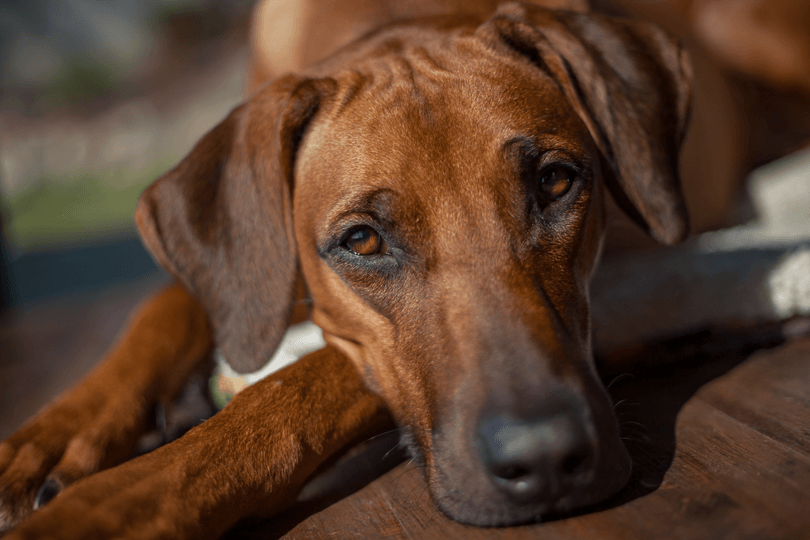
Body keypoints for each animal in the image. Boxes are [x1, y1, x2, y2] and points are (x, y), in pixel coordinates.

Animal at [0, 0, 696, 536]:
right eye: (361, 241)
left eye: (554, 182)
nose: (547, 458)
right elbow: (165, 310)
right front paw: (47, 440)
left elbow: (297, 383)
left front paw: (113, 506)